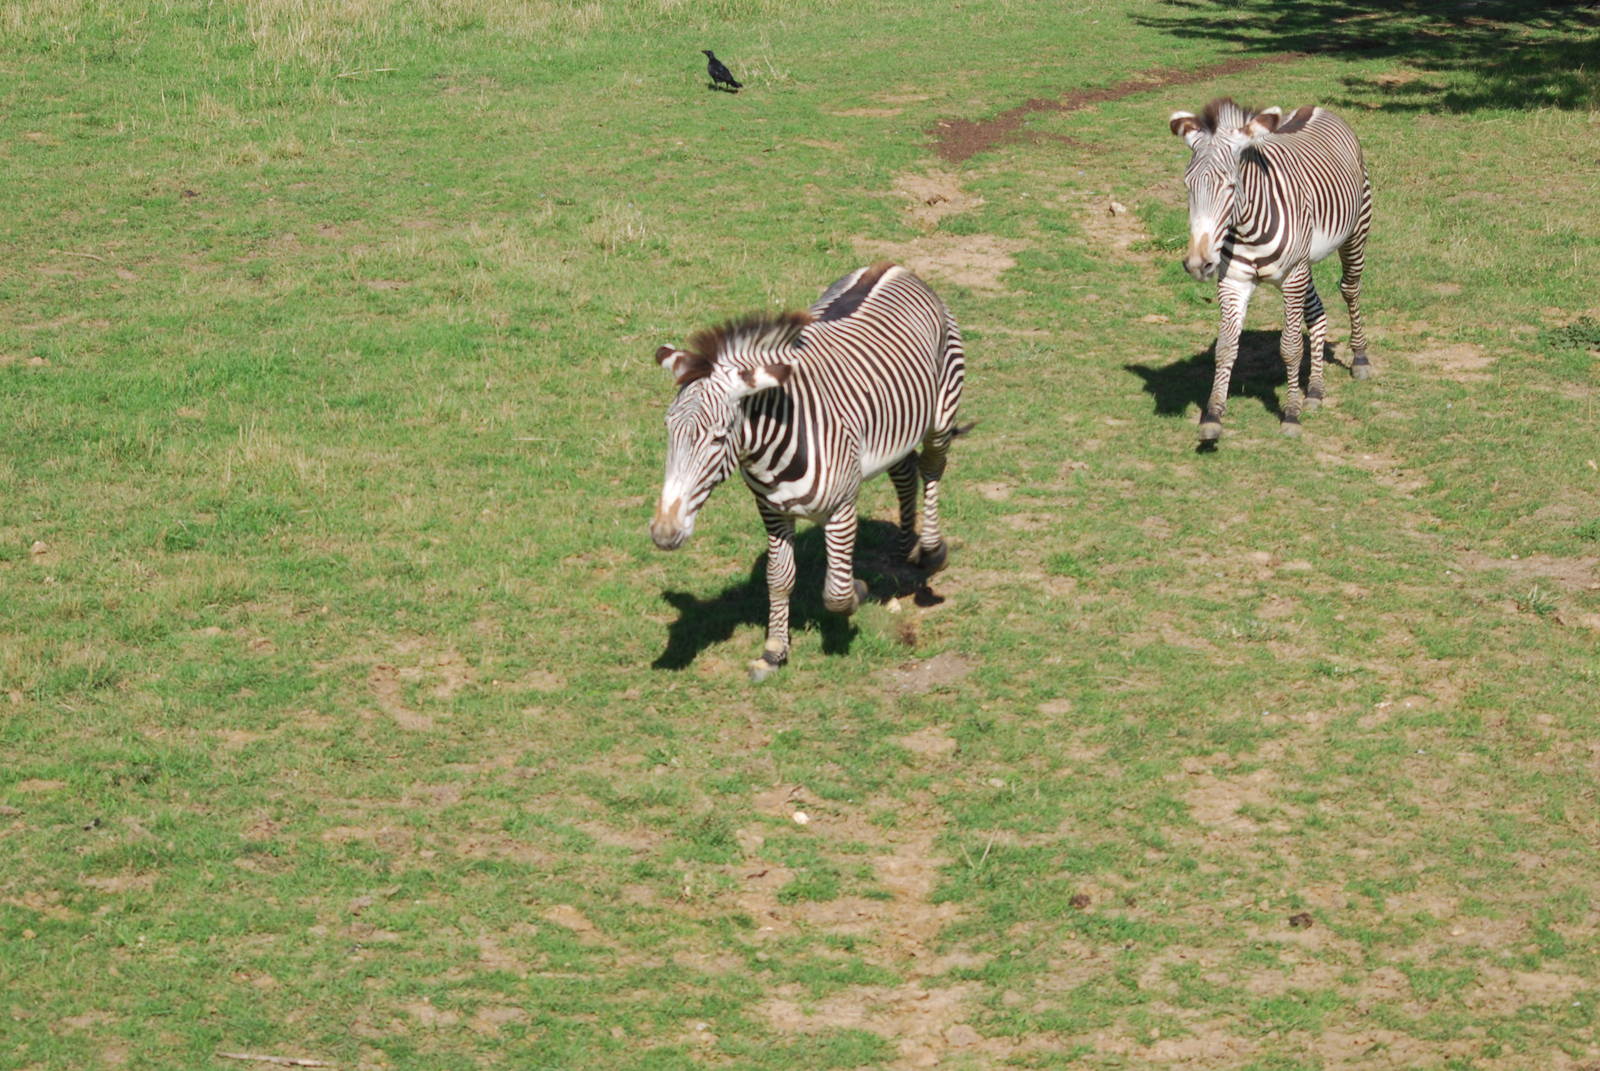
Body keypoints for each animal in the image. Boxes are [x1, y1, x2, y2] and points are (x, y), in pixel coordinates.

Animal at [650, 263, 966, 681]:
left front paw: (858, 591)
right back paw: (902, 549)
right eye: (668, 430)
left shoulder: (842, 508)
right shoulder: (771, 510)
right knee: (904, 471)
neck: (771, 449)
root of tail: (891, 266)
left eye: (718, 439)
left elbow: (835, 592)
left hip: (942, 414)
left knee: (931, 467)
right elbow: (779, 578)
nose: (664, 534)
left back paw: (930, 551)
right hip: (894, 431)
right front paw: (773, 651)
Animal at [1168, 97, 1373, 441]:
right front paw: (1213, 416)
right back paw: (1314, 391)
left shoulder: (1291, 278)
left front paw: (1290, 415)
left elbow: (1290, 347)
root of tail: (1315, 107)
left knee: (1350, 288)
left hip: (1354, 232)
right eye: (1188, 185)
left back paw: (1359, 357)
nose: (1198, 263)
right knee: (1317, 313)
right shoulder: (1234, 280)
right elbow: (1225, 347)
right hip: (1304, 266)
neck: (1248, 227)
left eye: (1231, 186)